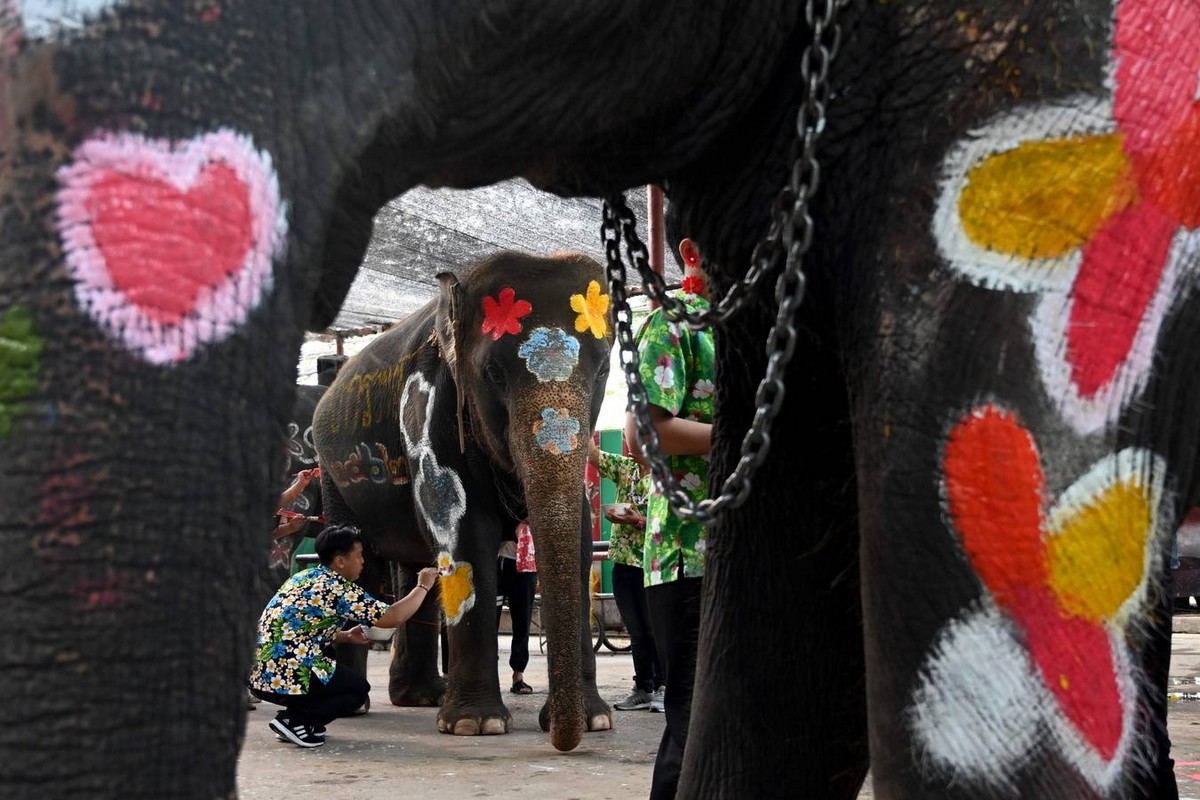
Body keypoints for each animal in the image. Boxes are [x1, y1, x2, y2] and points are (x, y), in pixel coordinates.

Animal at [309, 250, 614, 743]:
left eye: (604, 369)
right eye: (493, 373)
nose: (562, 740)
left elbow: (583, 542)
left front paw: (597, 721)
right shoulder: (427, 407)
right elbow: (465, 535)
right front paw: (476, 725)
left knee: (415, 565)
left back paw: (420, 697)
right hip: (332, 475)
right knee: (363, 564)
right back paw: (359, 704)